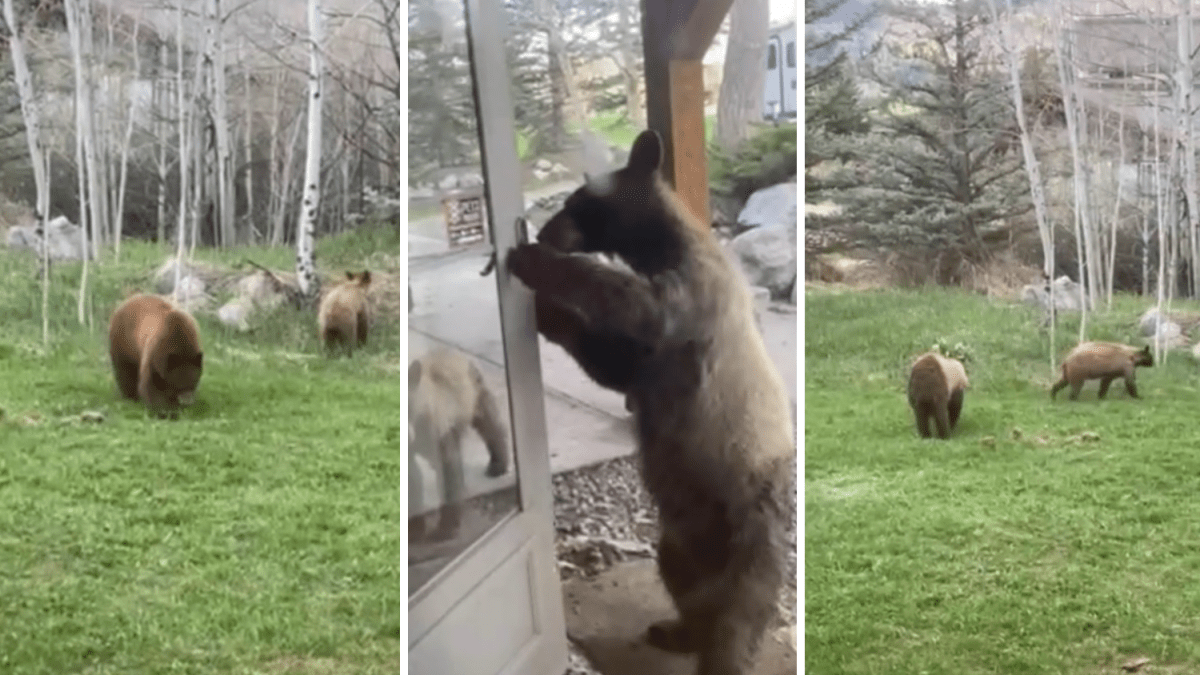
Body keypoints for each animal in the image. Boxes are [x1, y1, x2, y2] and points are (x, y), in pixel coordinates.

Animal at [408, 348, 510, 542]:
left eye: (409, 409)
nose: (408, 436)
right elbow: (413, 478)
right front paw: (415, 528)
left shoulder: (436, 428)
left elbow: (448, 469)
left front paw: (445, 528)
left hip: (476, 392)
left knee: (490, 426)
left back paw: (498, 464)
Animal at [505, 129, 794, 675]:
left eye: (575, 202)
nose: (546, 230)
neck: (665, 246)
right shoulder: (650, 364)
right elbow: (616, 363)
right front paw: (548, 313)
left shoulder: (695, 299)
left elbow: (639, 307)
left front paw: (535, 269)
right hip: (679, 536)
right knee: (683, 580)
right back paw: (677, 630)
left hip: (752, 531)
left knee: (737, 619)